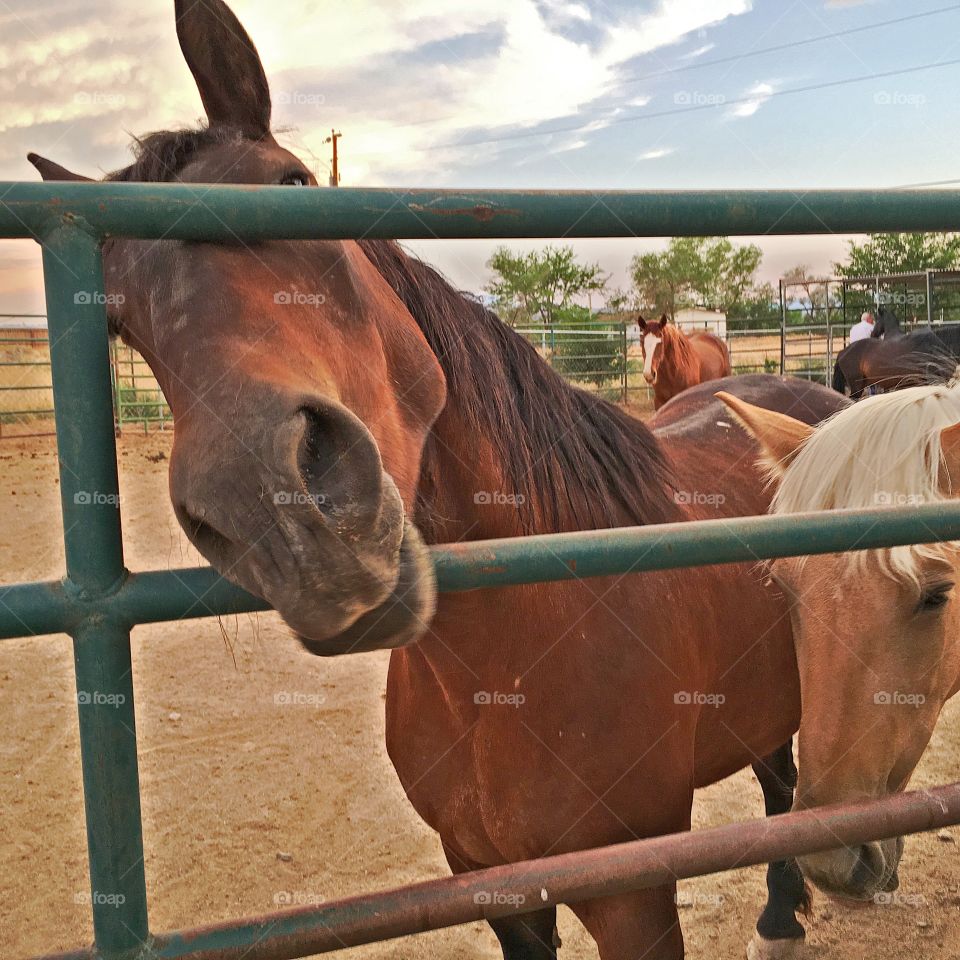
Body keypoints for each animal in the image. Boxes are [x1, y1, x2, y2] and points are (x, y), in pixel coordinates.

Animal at [28, 3, 856, 956]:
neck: (510, 659)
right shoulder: (493, 885)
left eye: (296, 186)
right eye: (118, 317)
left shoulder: (634, 897)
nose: (281, 517)